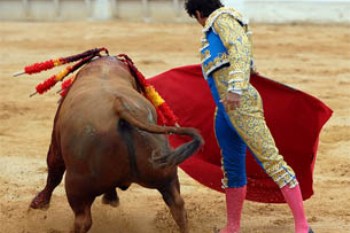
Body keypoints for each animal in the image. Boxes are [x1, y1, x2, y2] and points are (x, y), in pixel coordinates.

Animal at [30, 56, 205, 233]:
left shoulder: (56, 142)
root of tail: (120, 107)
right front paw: (111, 199)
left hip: (77, 185)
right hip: (165, 174)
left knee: (82, 219)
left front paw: (39, 203)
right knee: (178, 206)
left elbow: (54, 170)